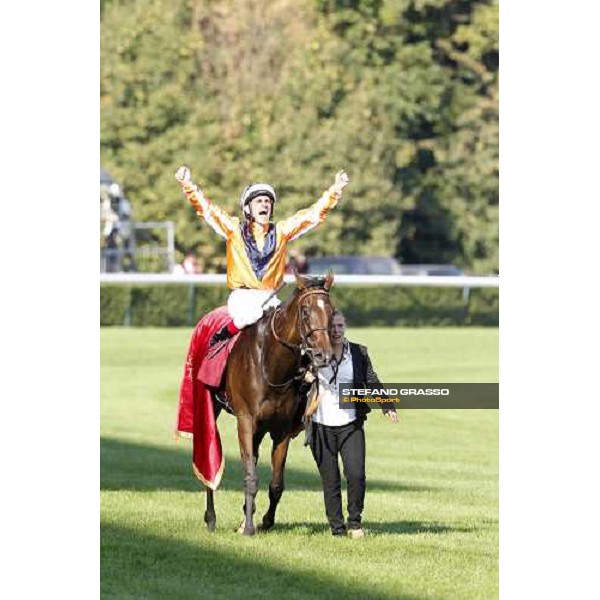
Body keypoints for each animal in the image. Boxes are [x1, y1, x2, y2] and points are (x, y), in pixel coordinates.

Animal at [205, 270, 338, 536]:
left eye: (331, 310)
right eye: (305, 311)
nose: (323, 355)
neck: (271, 365)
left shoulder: (282, 429)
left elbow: (276, 482)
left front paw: (264, 521)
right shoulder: (246, 420)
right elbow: (250, 477)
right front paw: (248, 527)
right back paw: (211, 517)